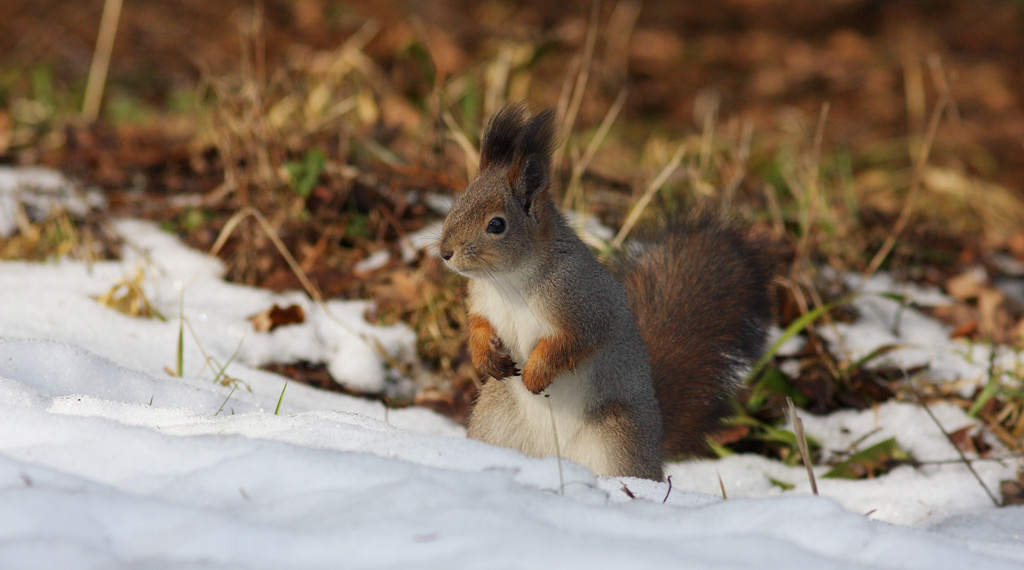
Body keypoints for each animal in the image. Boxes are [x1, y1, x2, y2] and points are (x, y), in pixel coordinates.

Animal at [438, 103, 771, 481]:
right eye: (456, 205)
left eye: (496, 225)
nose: (445, 252)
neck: (509, 281)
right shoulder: (484, 303)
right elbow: (479, 327)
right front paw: (485, 356)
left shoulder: (584, 307)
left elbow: (570, 343)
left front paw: (537, 374)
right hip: (494, 420)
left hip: (617, 437)